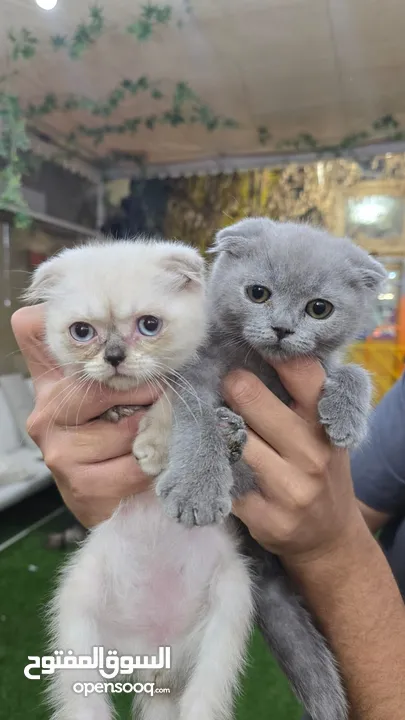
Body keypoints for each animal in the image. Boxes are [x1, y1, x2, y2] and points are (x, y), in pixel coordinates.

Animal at [25, 240, 251, 720]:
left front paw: (154, 445)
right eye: (82, 332)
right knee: (83, 699)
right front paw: (123, 413)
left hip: (229, 610)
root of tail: (153, 659)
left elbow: (173, 397)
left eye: (149, 325)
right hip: (78, 614)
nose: (113, 357)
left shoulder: (200, 377)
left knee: (205, 695)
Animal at [148, 218, 386, 720]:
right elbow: (197, 422)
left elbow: (352, 371)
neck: (260, 365)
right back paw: (231, 442)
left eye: (319, 309)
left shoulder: (320, 365)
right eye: (257, 293)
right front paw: (198, 488)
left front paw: (347, 416)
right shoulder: (193, 376)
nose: (281, 328)